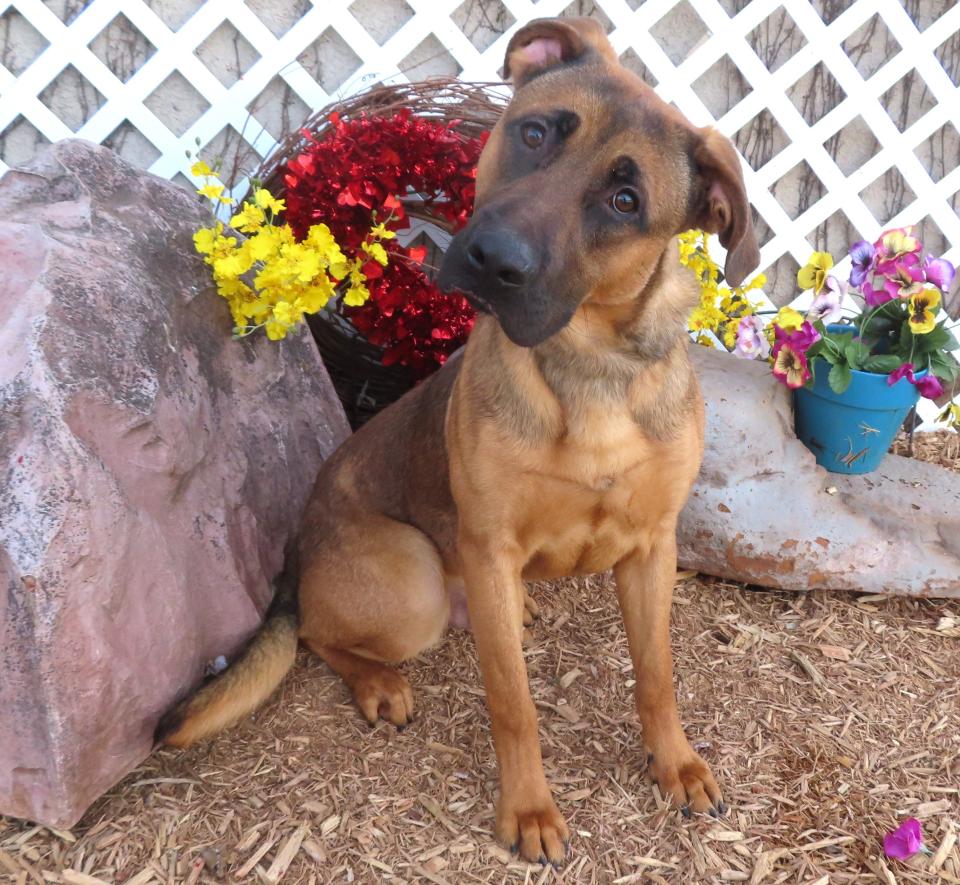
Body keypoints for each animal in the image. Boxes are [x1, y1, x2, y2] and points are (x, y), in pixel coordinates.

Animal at [159, 17, 756, 864]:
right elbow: (514, 702)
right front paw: (529, 808)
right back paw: (378, 681)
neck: (588, 369)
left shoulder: (652, 550)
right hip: (413, 583)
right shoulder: (492, 546)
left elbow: (658, 674)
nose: (491, 261)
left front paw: (674, 762)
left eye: (625, 200)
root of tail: (294, 560)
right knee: (315, 632)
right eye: (535, 132)